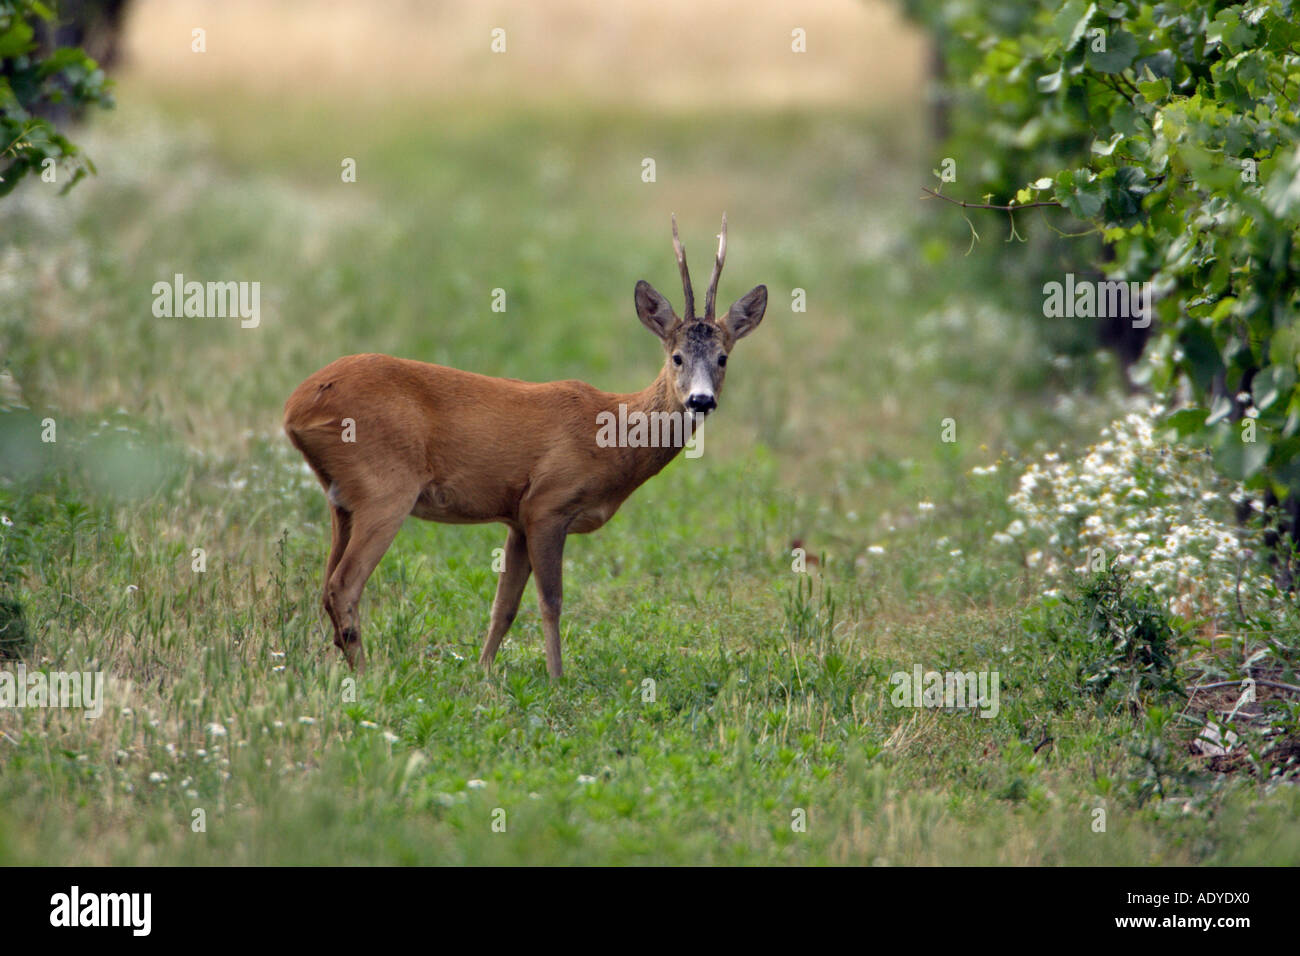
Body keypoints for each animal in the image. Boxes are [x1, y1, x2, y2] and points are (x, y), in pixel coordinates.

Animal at [283, 214, 767, 677]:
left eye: (723, 357)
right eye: (677, 357)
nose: (701, 400)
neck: (613, 434)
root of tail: (295, 408)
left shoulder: (516, 517)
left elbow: (504, 607)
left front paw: (482, 674)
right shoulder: (548, 503)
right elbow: (551, 601)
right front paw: (556, 679)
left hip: (342, 500)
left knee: (326, 585)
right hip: (386, 487)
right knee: (343, 585)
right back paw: (368, 677)